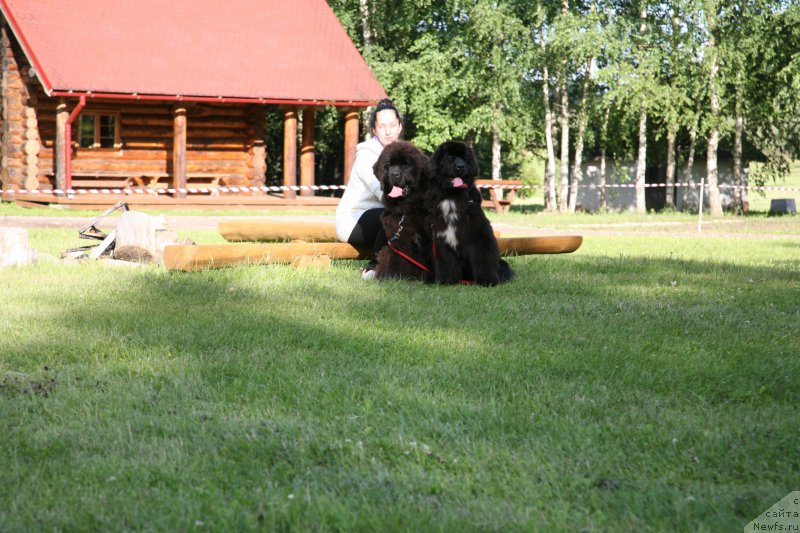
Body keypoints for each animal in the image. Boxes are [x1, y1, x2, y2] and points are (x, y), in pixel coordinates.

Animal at [374, 141, 434, 282]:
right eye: (388, 165)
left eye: (406, 165)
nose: (394, 174)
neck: (408, 210)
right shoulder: (397, 242)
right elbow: (394, 259)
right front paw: (390, 277)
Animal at [424, 139, 512, 284]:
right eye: (450, 157)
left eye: (465, 159)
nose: (460, 166)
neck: (452, 196)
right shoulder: (441, 238)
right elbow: (446, 261)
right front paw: (446, 280)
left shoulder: (479, 235)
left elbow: (483, 259)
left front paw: (487, 280)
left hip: (503, 264)